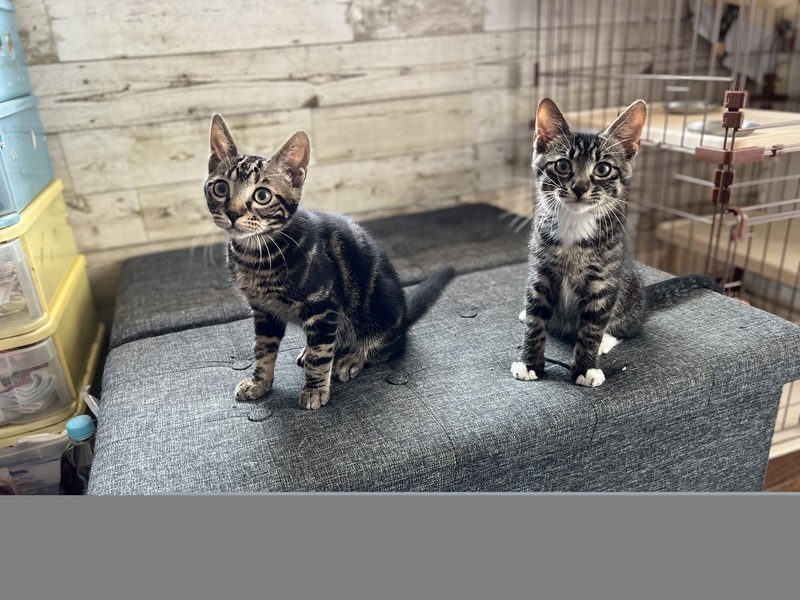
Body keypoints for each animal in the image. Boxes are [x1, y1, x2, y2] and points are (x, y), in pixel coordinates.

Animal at [205, 115, 454, 409]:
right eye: (221, 188)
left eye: (262, 196)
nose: (232, 213)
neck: (257, 255)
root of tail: (404, 318)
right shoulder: (264, 311)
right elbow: (262, 350)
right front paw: (259, 383)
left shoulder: (323, 308)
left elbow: (320, 355)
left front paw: (314, 390)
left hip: (381, 309)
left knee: (389, 346)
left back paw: (353, 358)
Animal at [511, 98, 721, 388]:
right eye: (563, 165)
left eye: (602, 169)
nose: (579, 187)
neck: (575, 225)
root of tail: (644, 299)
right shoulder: (540, 270)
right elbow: (536, 319)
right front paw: (530, 362)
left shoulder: (604, 280)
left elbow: (592, 326)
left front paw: (585, 367)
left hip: (628, 290)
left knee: (626, 327)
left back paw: (606, 340)